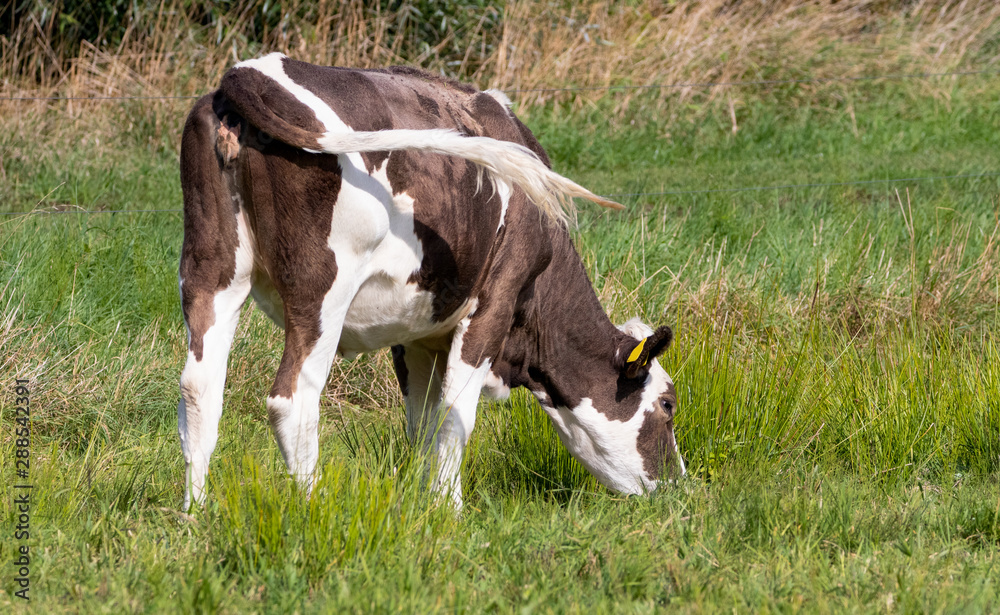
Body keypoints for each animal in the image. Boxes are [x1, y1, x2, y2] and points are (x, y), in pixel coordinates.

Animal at [177, 53, 684, 510]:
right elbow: (456, 414)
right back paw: (312, 505)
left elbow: (422, 420)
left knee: (199, 388)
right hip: (321, 292)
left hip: (210, 270)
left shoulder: (418, 331)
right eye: (668, 405)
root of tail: (250, 73)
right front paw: (449, 508)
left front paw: (424, 505)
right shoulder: (494, 301)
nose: (677, 485)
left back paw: (194, 512)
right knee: (292, 400)